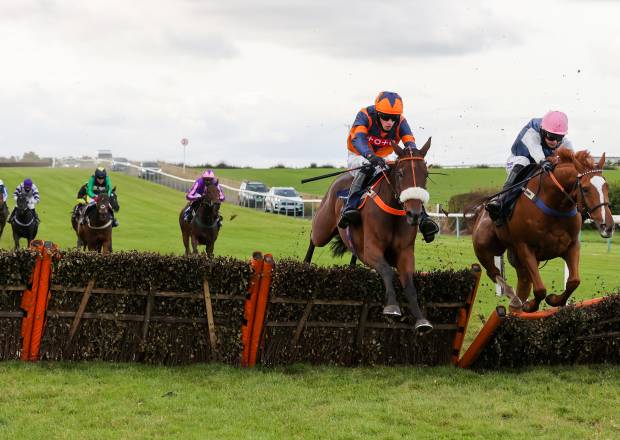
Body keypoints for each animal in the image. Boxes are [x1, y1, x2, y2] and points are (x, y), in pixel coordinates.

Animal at [304, 139, 432, 332]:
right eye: (401, 173)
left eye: (425, 174)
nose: (414, 214)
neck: (393, 212)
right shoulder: (370, 250)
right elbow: (387, 270)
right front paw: (392, 307)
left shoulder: (405, 252)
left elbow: (409, 284)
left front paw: (421, 319)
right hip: (323, 228)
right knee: (313, 237)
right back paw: (306, 263)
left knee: (352, 253)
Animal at [474, 148, 616, 312]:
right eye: (585, 189)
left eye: (606, 187)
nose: (608, 226)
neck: (556, 206)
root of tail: (481, 211)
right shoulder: (525, 248)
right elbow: (540, 289)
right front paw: (530, 305)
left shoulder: (572, 245)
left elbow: (574, 281)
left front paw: (555, 300)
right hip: (485, 247)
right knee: (493, 272)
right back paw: (514, 298)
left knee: (523, 282)